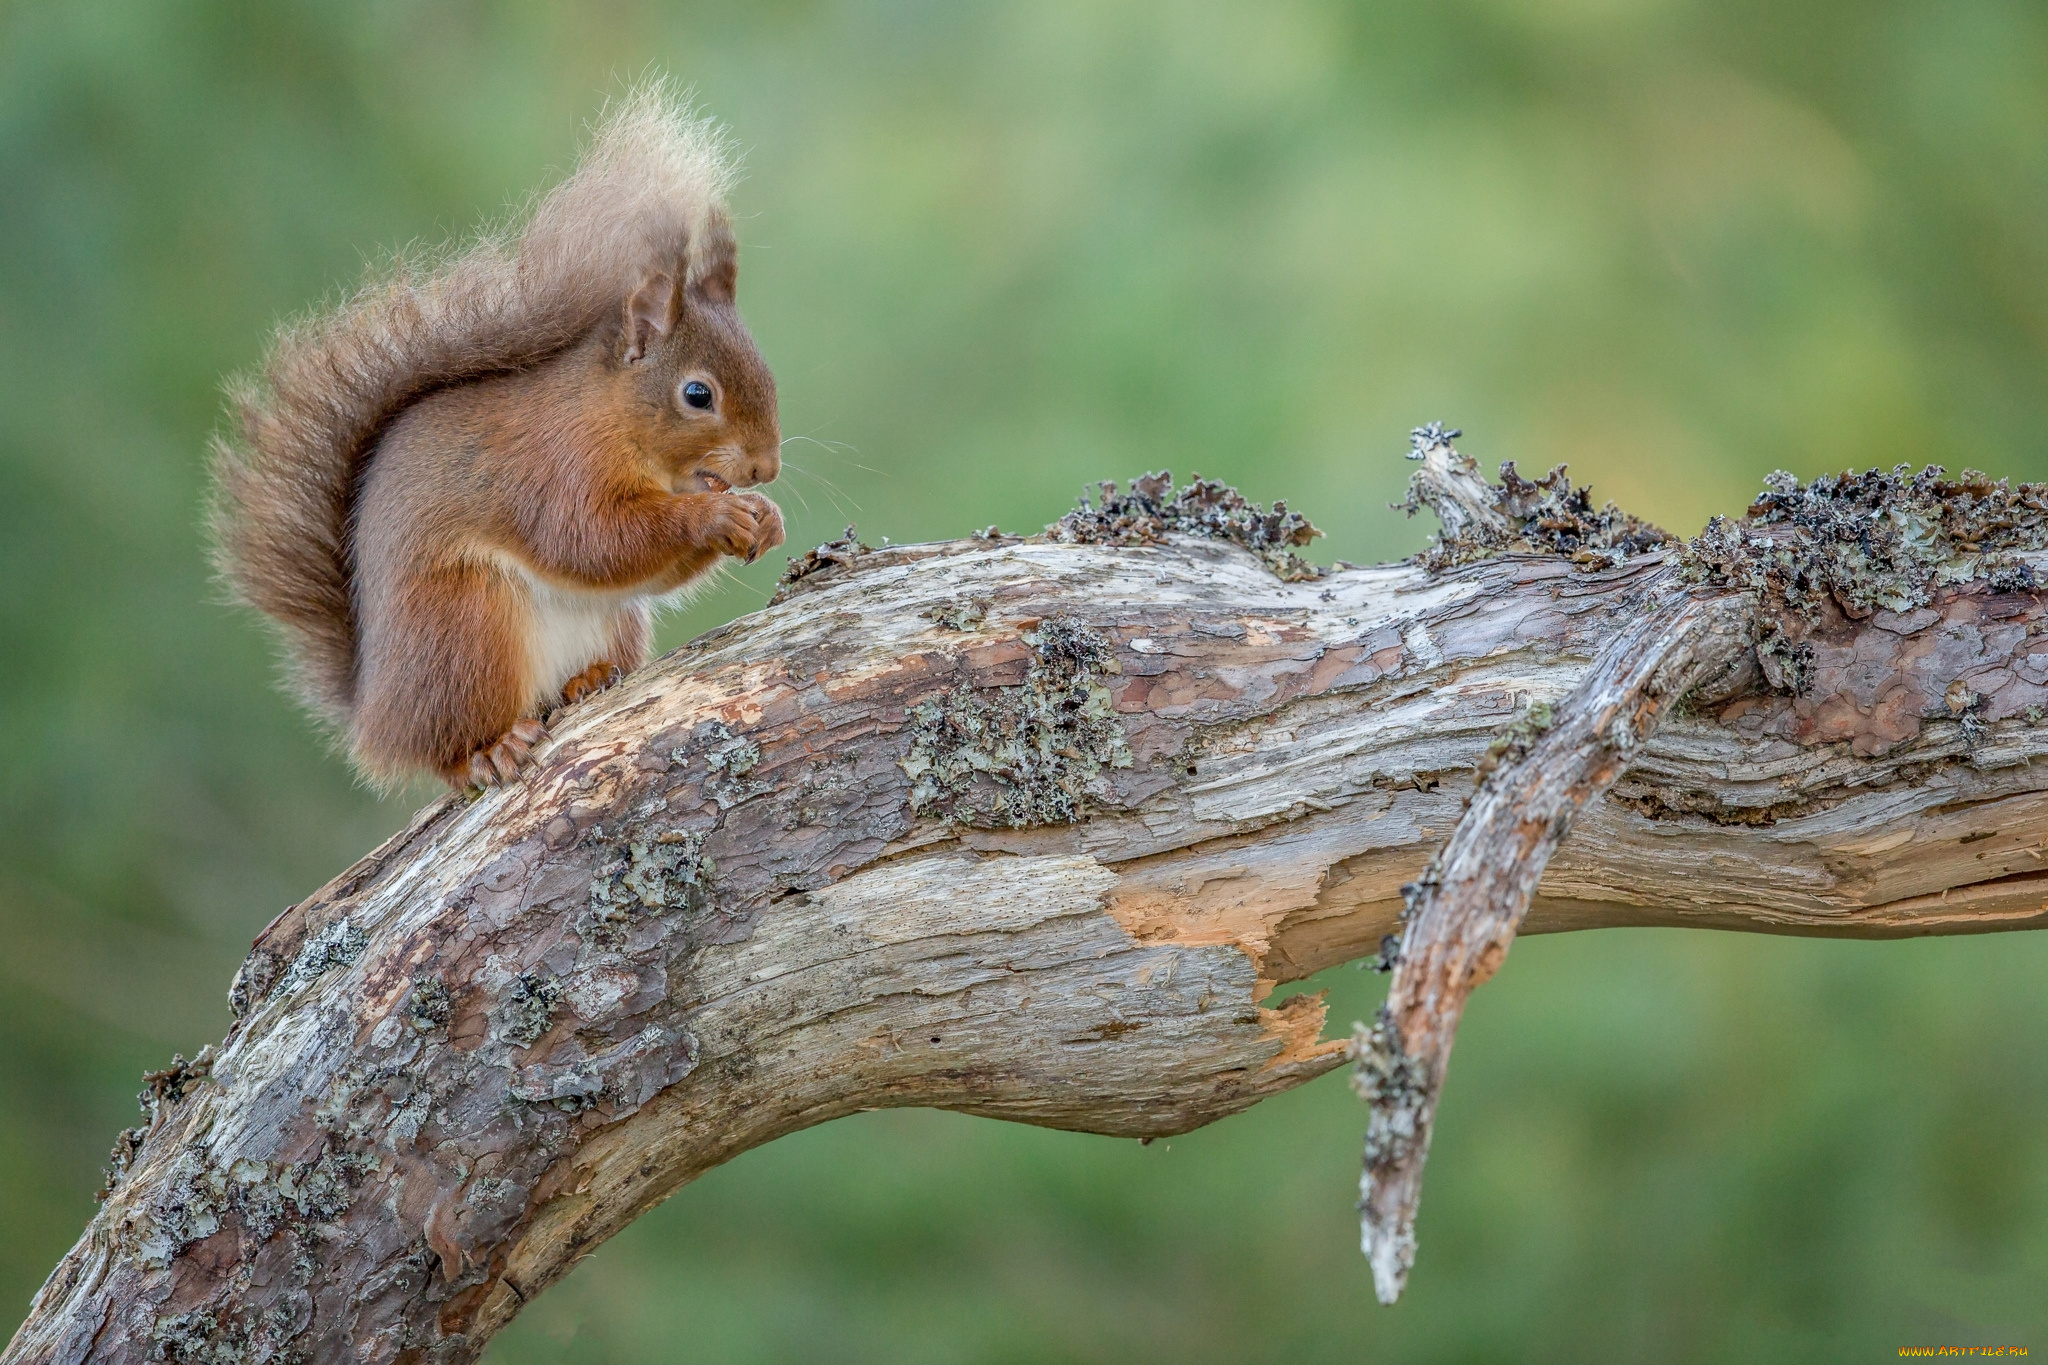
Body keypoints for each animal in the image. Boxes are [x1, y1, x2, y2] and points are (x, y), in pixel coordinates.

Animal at [209, 87, 782, 789]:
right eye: (698, 395)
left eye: (767, 371)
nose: (765, 469)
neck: (611, 417)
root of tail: (376, 711)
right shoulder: (555, 468)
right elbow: (592, 541)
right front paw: (714, 515)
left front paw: (767, 517)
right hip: (466, 629)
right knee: (448, 747)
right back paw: (488, 749)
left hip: (608, 623)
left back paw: (591, 677)